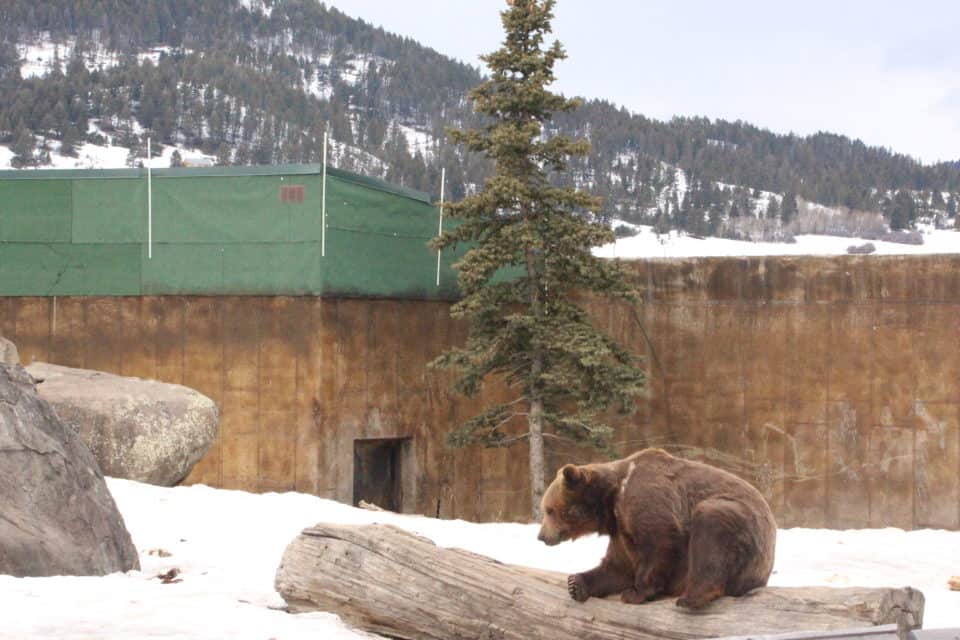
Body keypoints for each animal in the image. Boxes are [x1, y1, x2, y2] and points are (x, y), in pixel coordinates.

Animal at [536, 448, 776, 608]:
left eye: (549, 510)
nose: (541, 536)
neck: (612, 499)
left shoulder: (645, 499)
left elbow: (660, 542)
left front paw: (635, 592)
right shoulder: (620, 528)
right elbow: (618, 566)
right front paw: (575, 584)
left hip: (743, 523)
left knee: (711, 527)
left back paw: (690, 597)